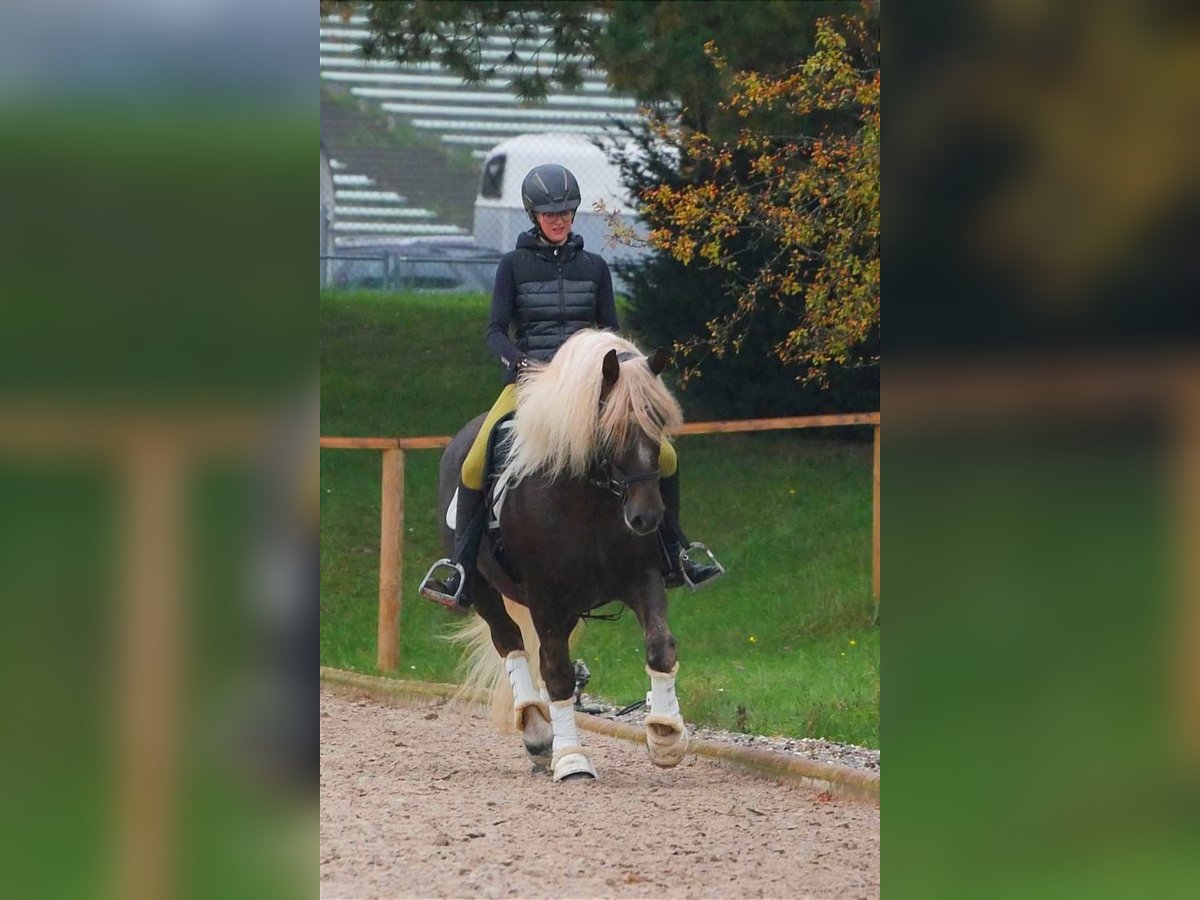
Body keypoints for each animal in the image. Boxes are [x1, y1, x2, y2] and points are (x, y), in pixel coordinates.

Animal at [434, 331, 696, 782]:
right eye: (612, 429)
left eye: (657, 423)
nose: (646, 517)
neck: (589, 501)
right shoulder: (545, 596)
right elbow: (556, 672)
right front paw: (572, 758)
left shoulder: (642, 577)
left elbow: (660, 645)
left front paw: (665, 737)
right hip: (484, 589)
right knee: (512, 643)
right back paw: (539, 736)